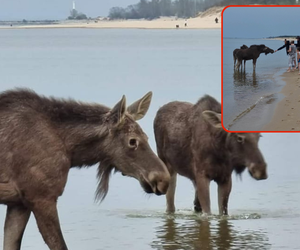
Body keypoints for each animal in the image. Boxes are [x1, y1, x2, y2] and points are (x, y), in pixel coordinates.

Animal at [0, 89, 169, 250]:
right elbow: (60, 245)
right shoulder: (41, 197)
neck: (71, 152)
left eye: (147, 137)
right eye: (132, 141)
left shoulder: (19, 203)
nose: (164, 179)